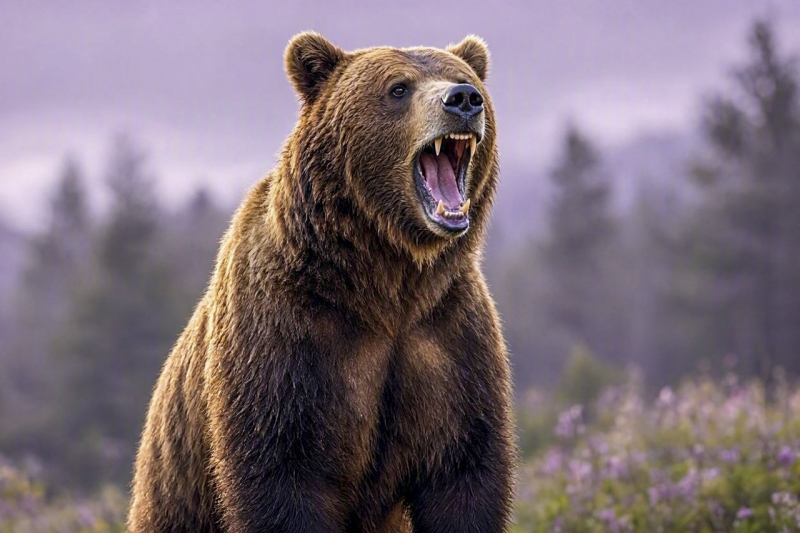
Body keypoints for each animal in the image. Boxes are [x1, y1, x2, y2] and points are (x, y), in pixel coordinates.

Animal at [128, 32, 515, 532]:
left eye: (466, 79)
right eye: (398, 88)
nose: (463, 100)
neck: (385, 281)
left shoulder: (446, 336)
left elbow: (465, 473)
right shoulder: (289, 342)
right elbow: (282, 477)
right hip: (175, 495)